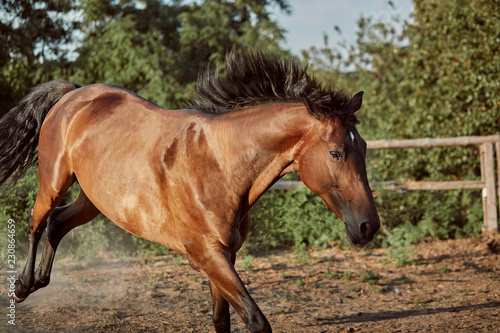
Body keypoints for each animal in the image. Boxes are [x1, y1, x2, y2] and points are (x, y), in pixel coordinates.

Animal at [0, 50, 378, 332]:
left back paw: (40, 280)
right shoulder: (207, 255)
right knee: (36, 222)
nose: (368, 227)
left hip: (95, 199)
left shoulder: (226, 255)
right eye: (336, 152)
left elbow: (221, 320)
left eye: (363, 146)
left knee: (58, 223)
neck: (220, 165)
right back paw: (21, 288)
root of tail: (72, 94)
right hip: (54, 181)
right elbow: (255, 321)